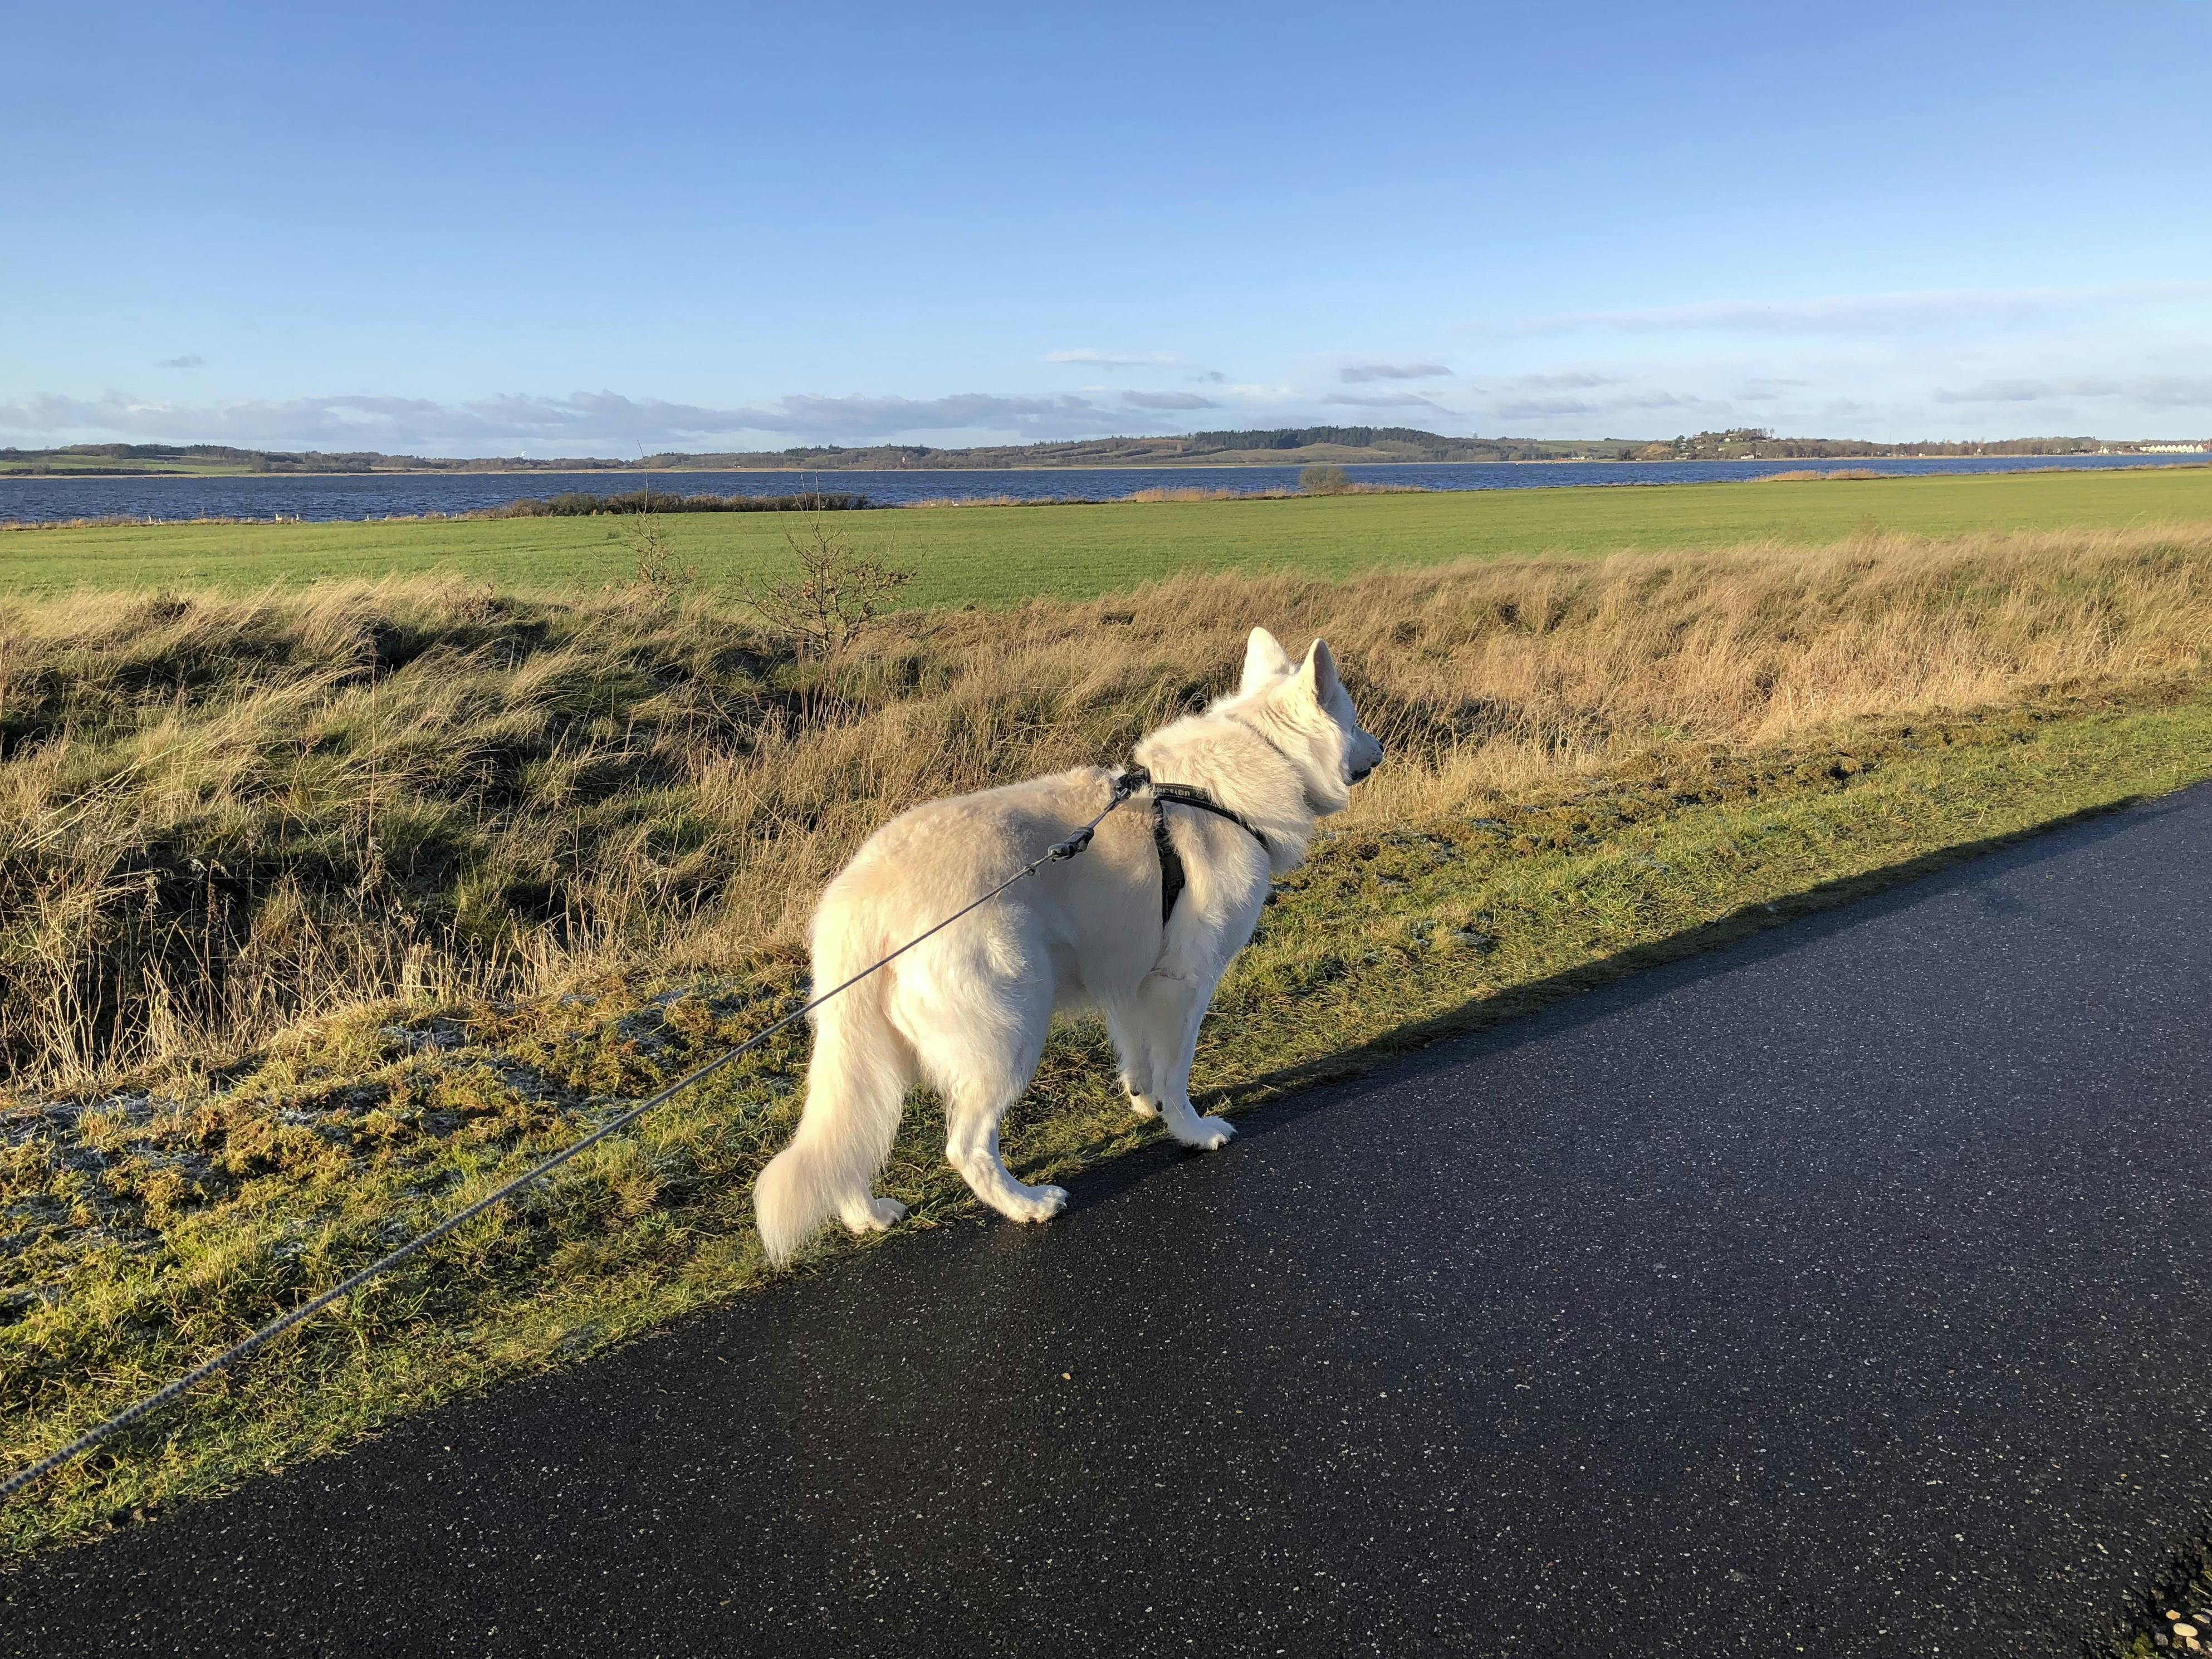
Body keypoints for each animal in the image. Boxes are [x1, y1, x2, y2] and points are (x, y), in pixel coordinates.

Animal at [761, 628, 1380, 1265]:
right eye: (1356, 720)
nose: (1379, 751)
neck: (1253, 763)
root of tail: (864, 895)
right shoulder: (1184, 985)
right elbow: (1176, 1073)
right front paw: (1191, 1131)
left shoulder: (1134, 980)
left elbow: (1142, 1062)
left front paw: (1145, 1105)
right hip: (1010, 1035)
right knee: (967, 1147)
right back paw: (1026, 1204)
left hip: (874, 1057)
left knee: (847, 1145)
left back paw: (867, 1216)